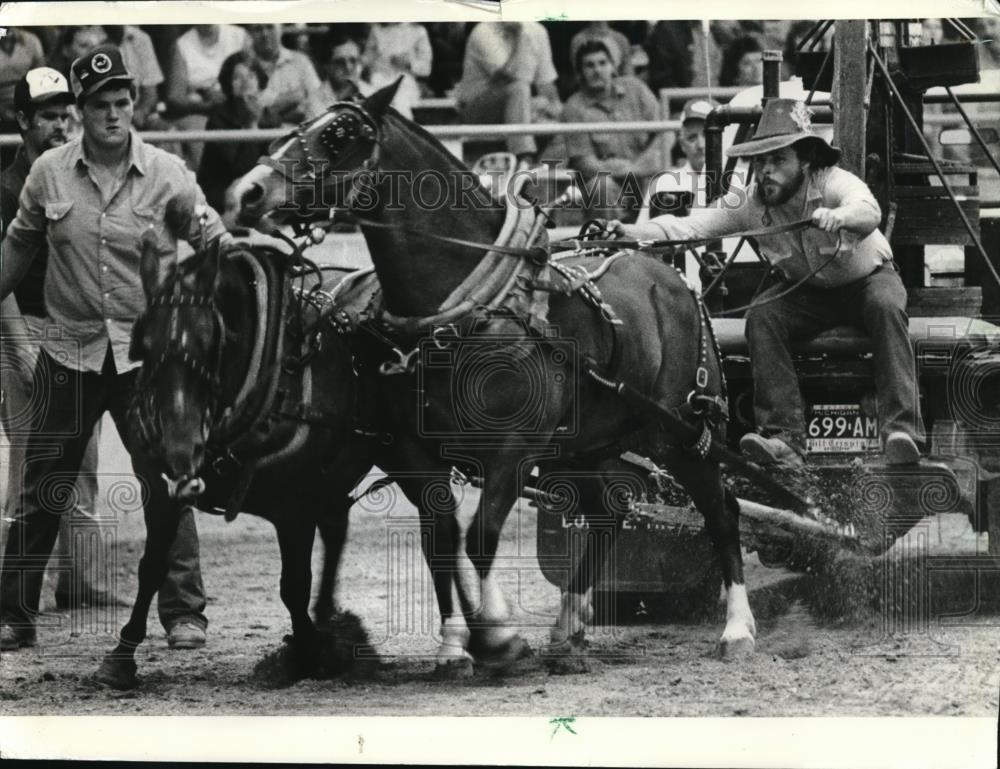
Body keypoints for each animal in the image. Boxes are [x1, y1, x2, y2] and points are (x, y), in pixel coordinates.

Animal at [94, 225, 468, 688]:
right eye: (143, 344)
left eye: (214, 340)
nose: (180, 451)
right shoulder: (158, 485)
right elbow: (150, 568)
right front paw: (121, 655)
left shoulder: (294, 506)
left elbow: (293, 585)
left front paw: (311, 653)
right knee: (340, 528)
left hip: (411, 460)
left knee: (441, 533)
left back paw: (459, 640)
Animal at [238, 81, 752, 664]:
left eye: (339, 136)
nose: (248, 191)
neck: (469, 311)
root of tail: (673, 279)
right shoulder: (418, 454)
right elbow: (441, 541)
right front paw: (454, 645)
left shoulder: (511, 451)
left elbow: (481, 536)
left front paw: (498, 633)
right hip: (586, 445)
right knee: (608, 509)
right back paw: (568, 626)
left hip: (682, 433)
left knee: (722, 510)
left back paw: (738, 628)